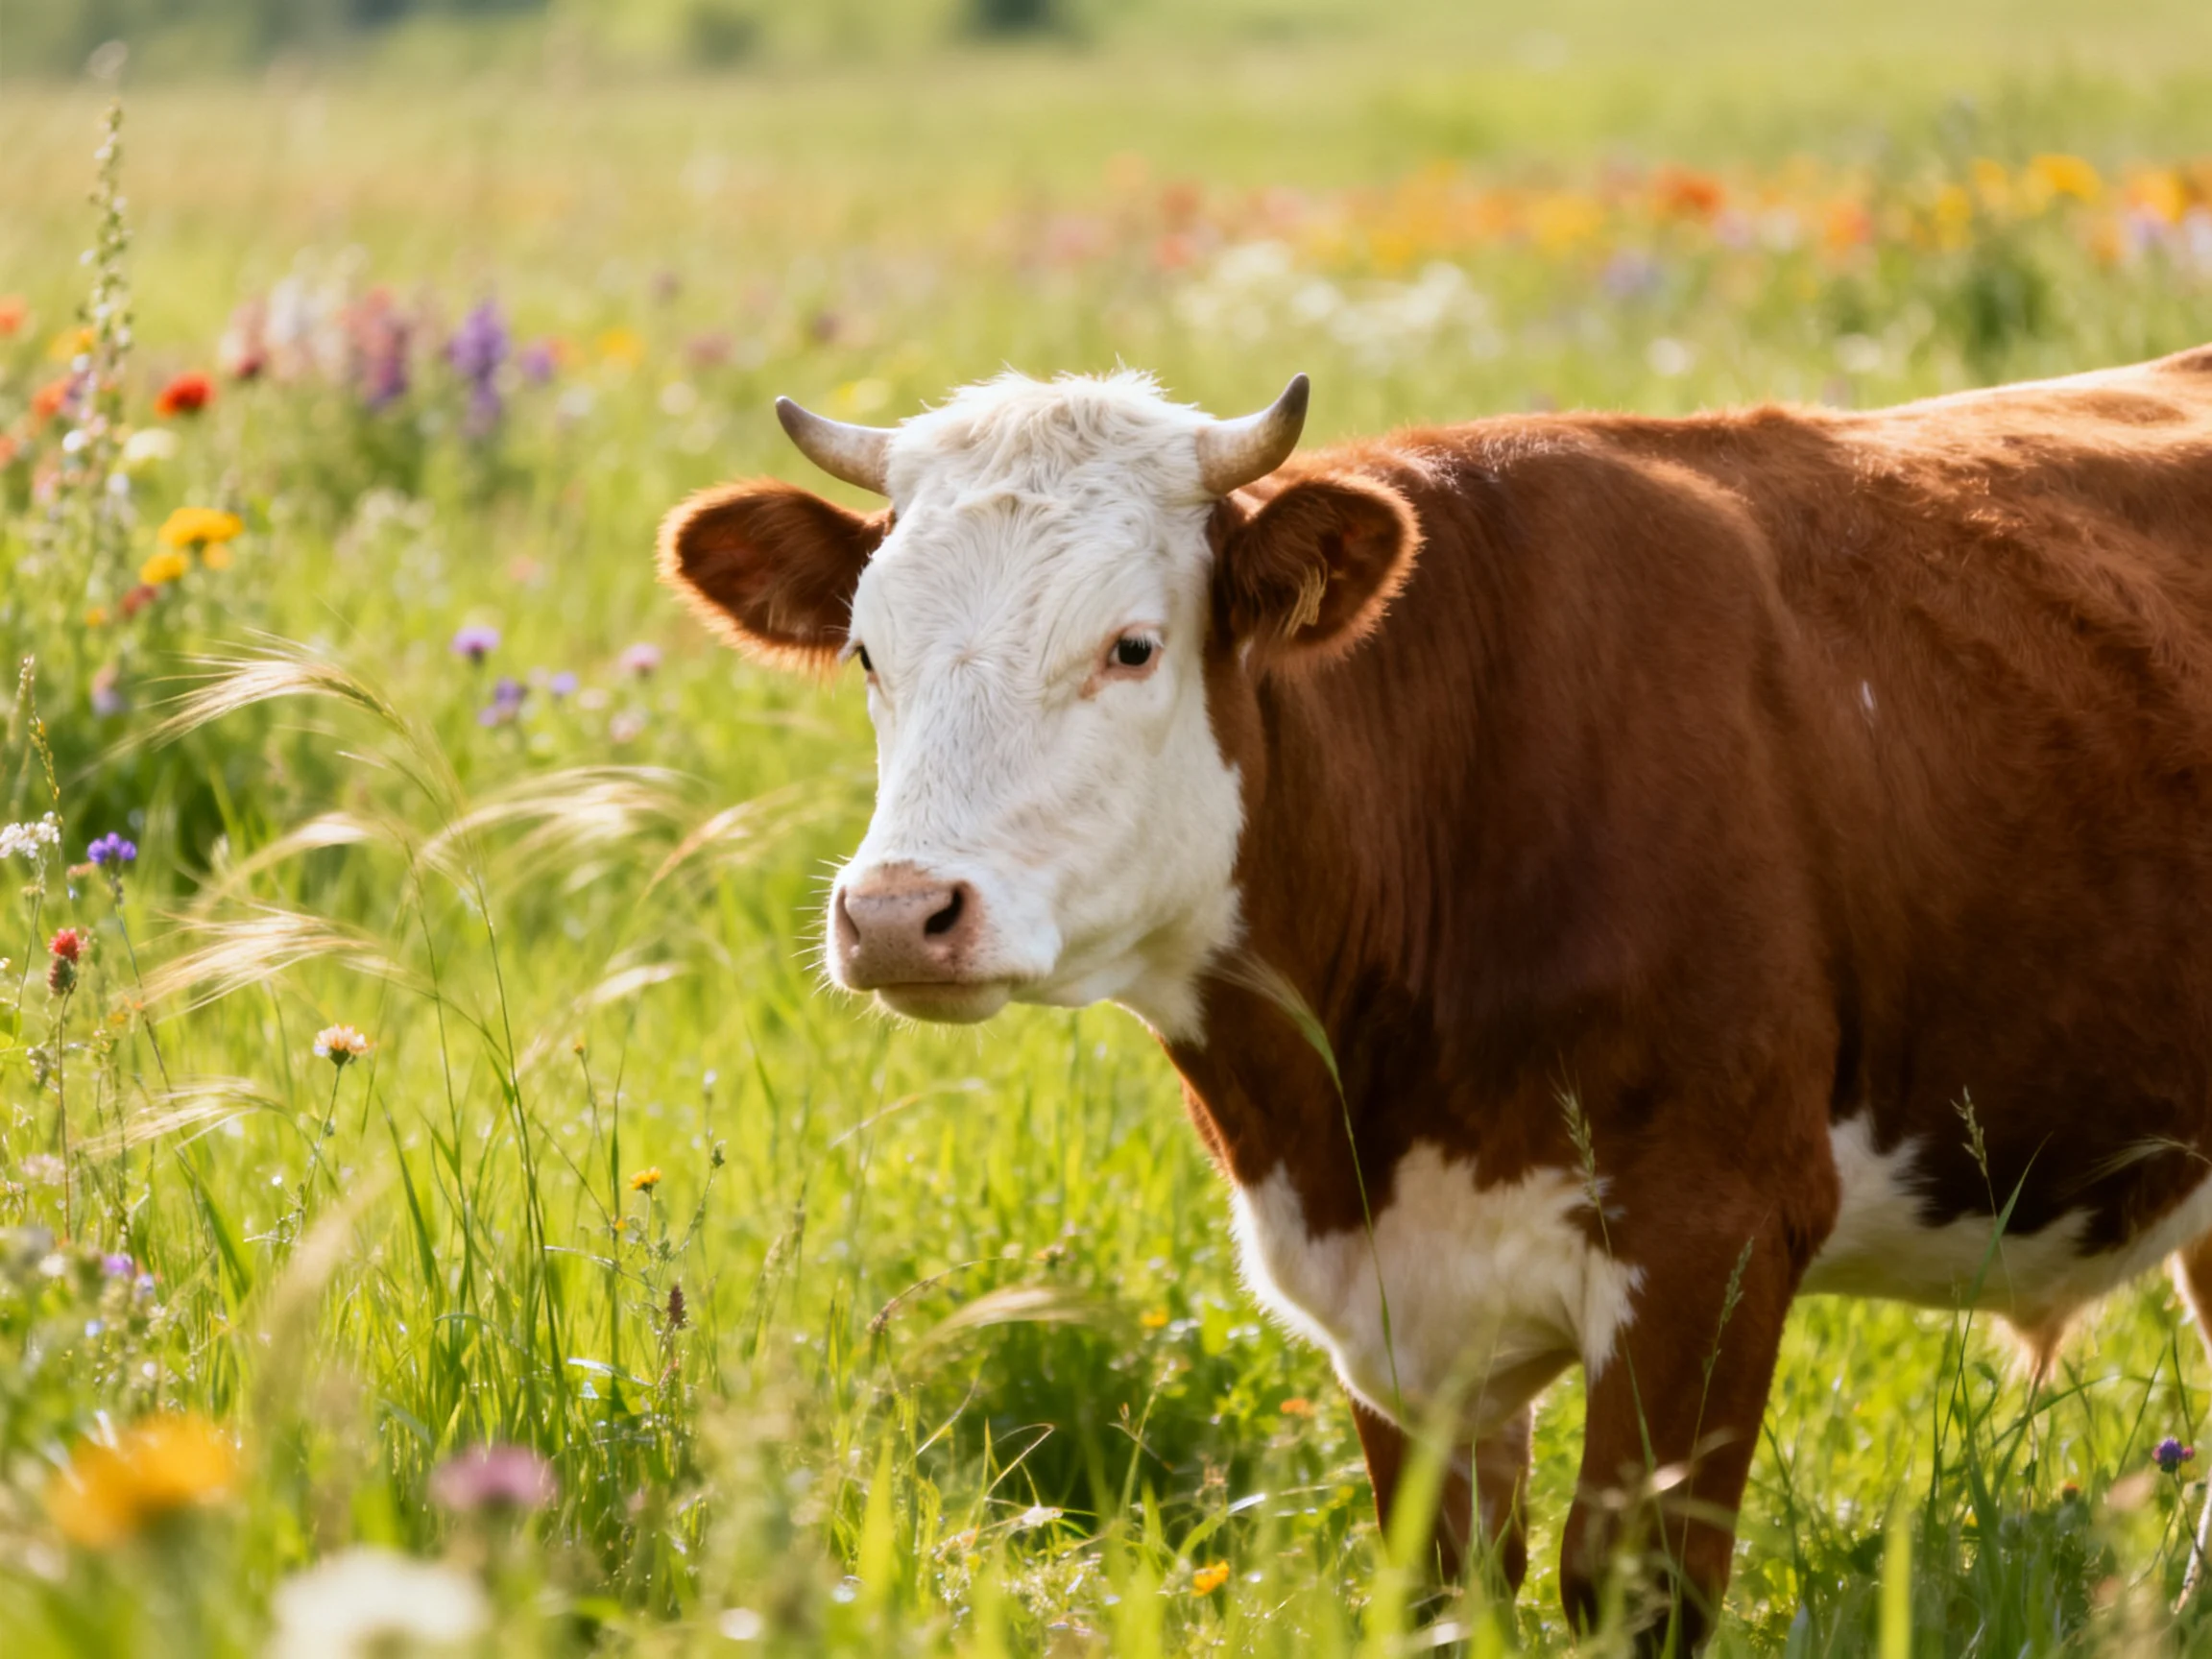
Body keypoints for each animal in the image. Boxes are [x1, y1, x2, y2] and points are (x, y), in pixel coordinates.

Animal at [658, 349, 2212, 1649]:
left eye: (1132, 646)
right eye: (870, 652)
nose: (897, 913)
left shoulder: (1713, 1242)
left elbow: (1631, 1590)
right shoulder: (1395, 1328)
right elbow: (1447, 1597)